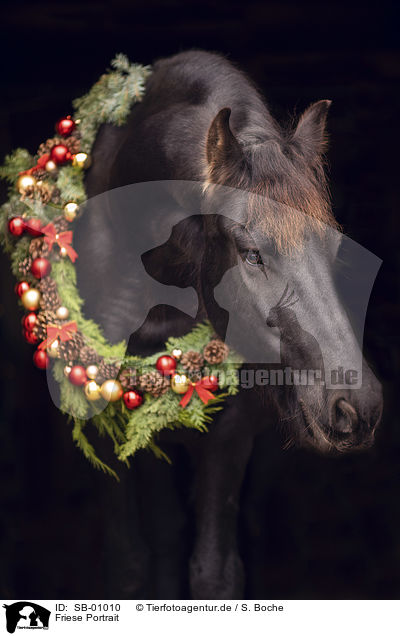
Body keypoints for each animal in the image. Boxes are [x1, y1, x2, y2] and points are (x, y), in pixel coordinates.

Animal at [73, 51, 382, 600]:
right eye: (251, 253)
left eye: (335, 247)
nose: (357, 408)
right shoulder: (100, 416)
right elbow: (128, 564)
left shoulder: (231, 432)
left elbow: (216, 573)